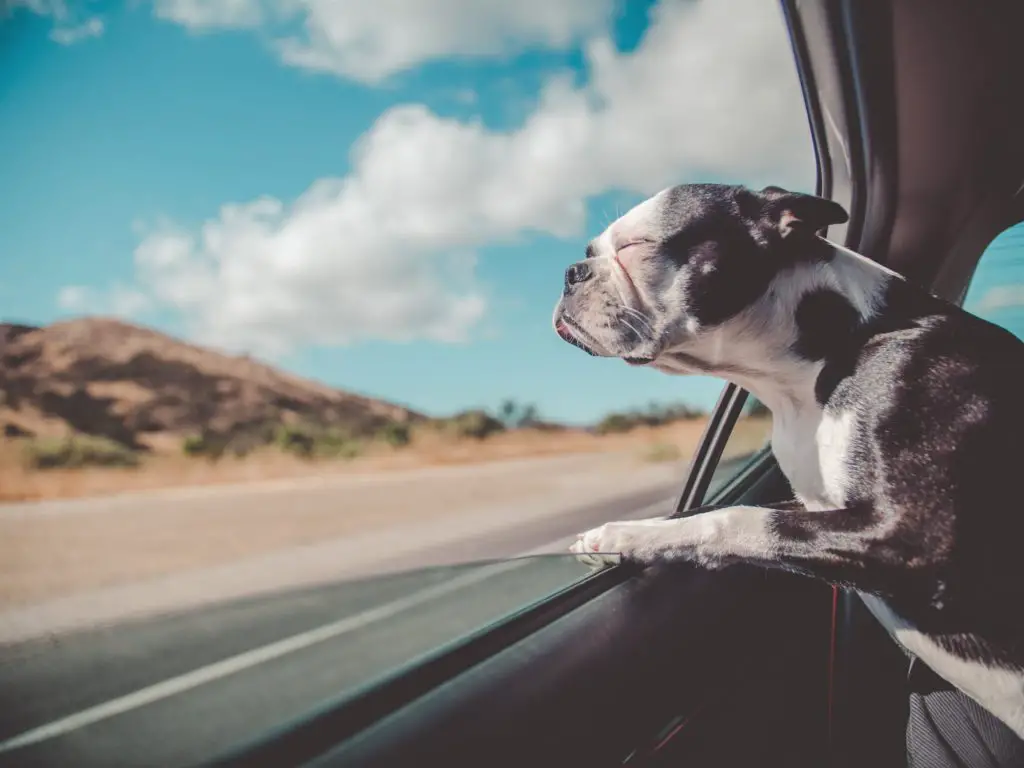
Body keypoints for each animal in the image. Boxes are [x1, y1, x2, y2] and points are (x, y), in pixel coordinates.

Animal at [552, 183, 1024, 741]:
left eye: (636, 247)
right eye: (590, 252)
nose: (570, 272)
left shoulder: (911, 537)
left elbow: (734, 519)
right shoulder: (815, 507)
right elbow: (699, 513)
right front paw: (621, 535)